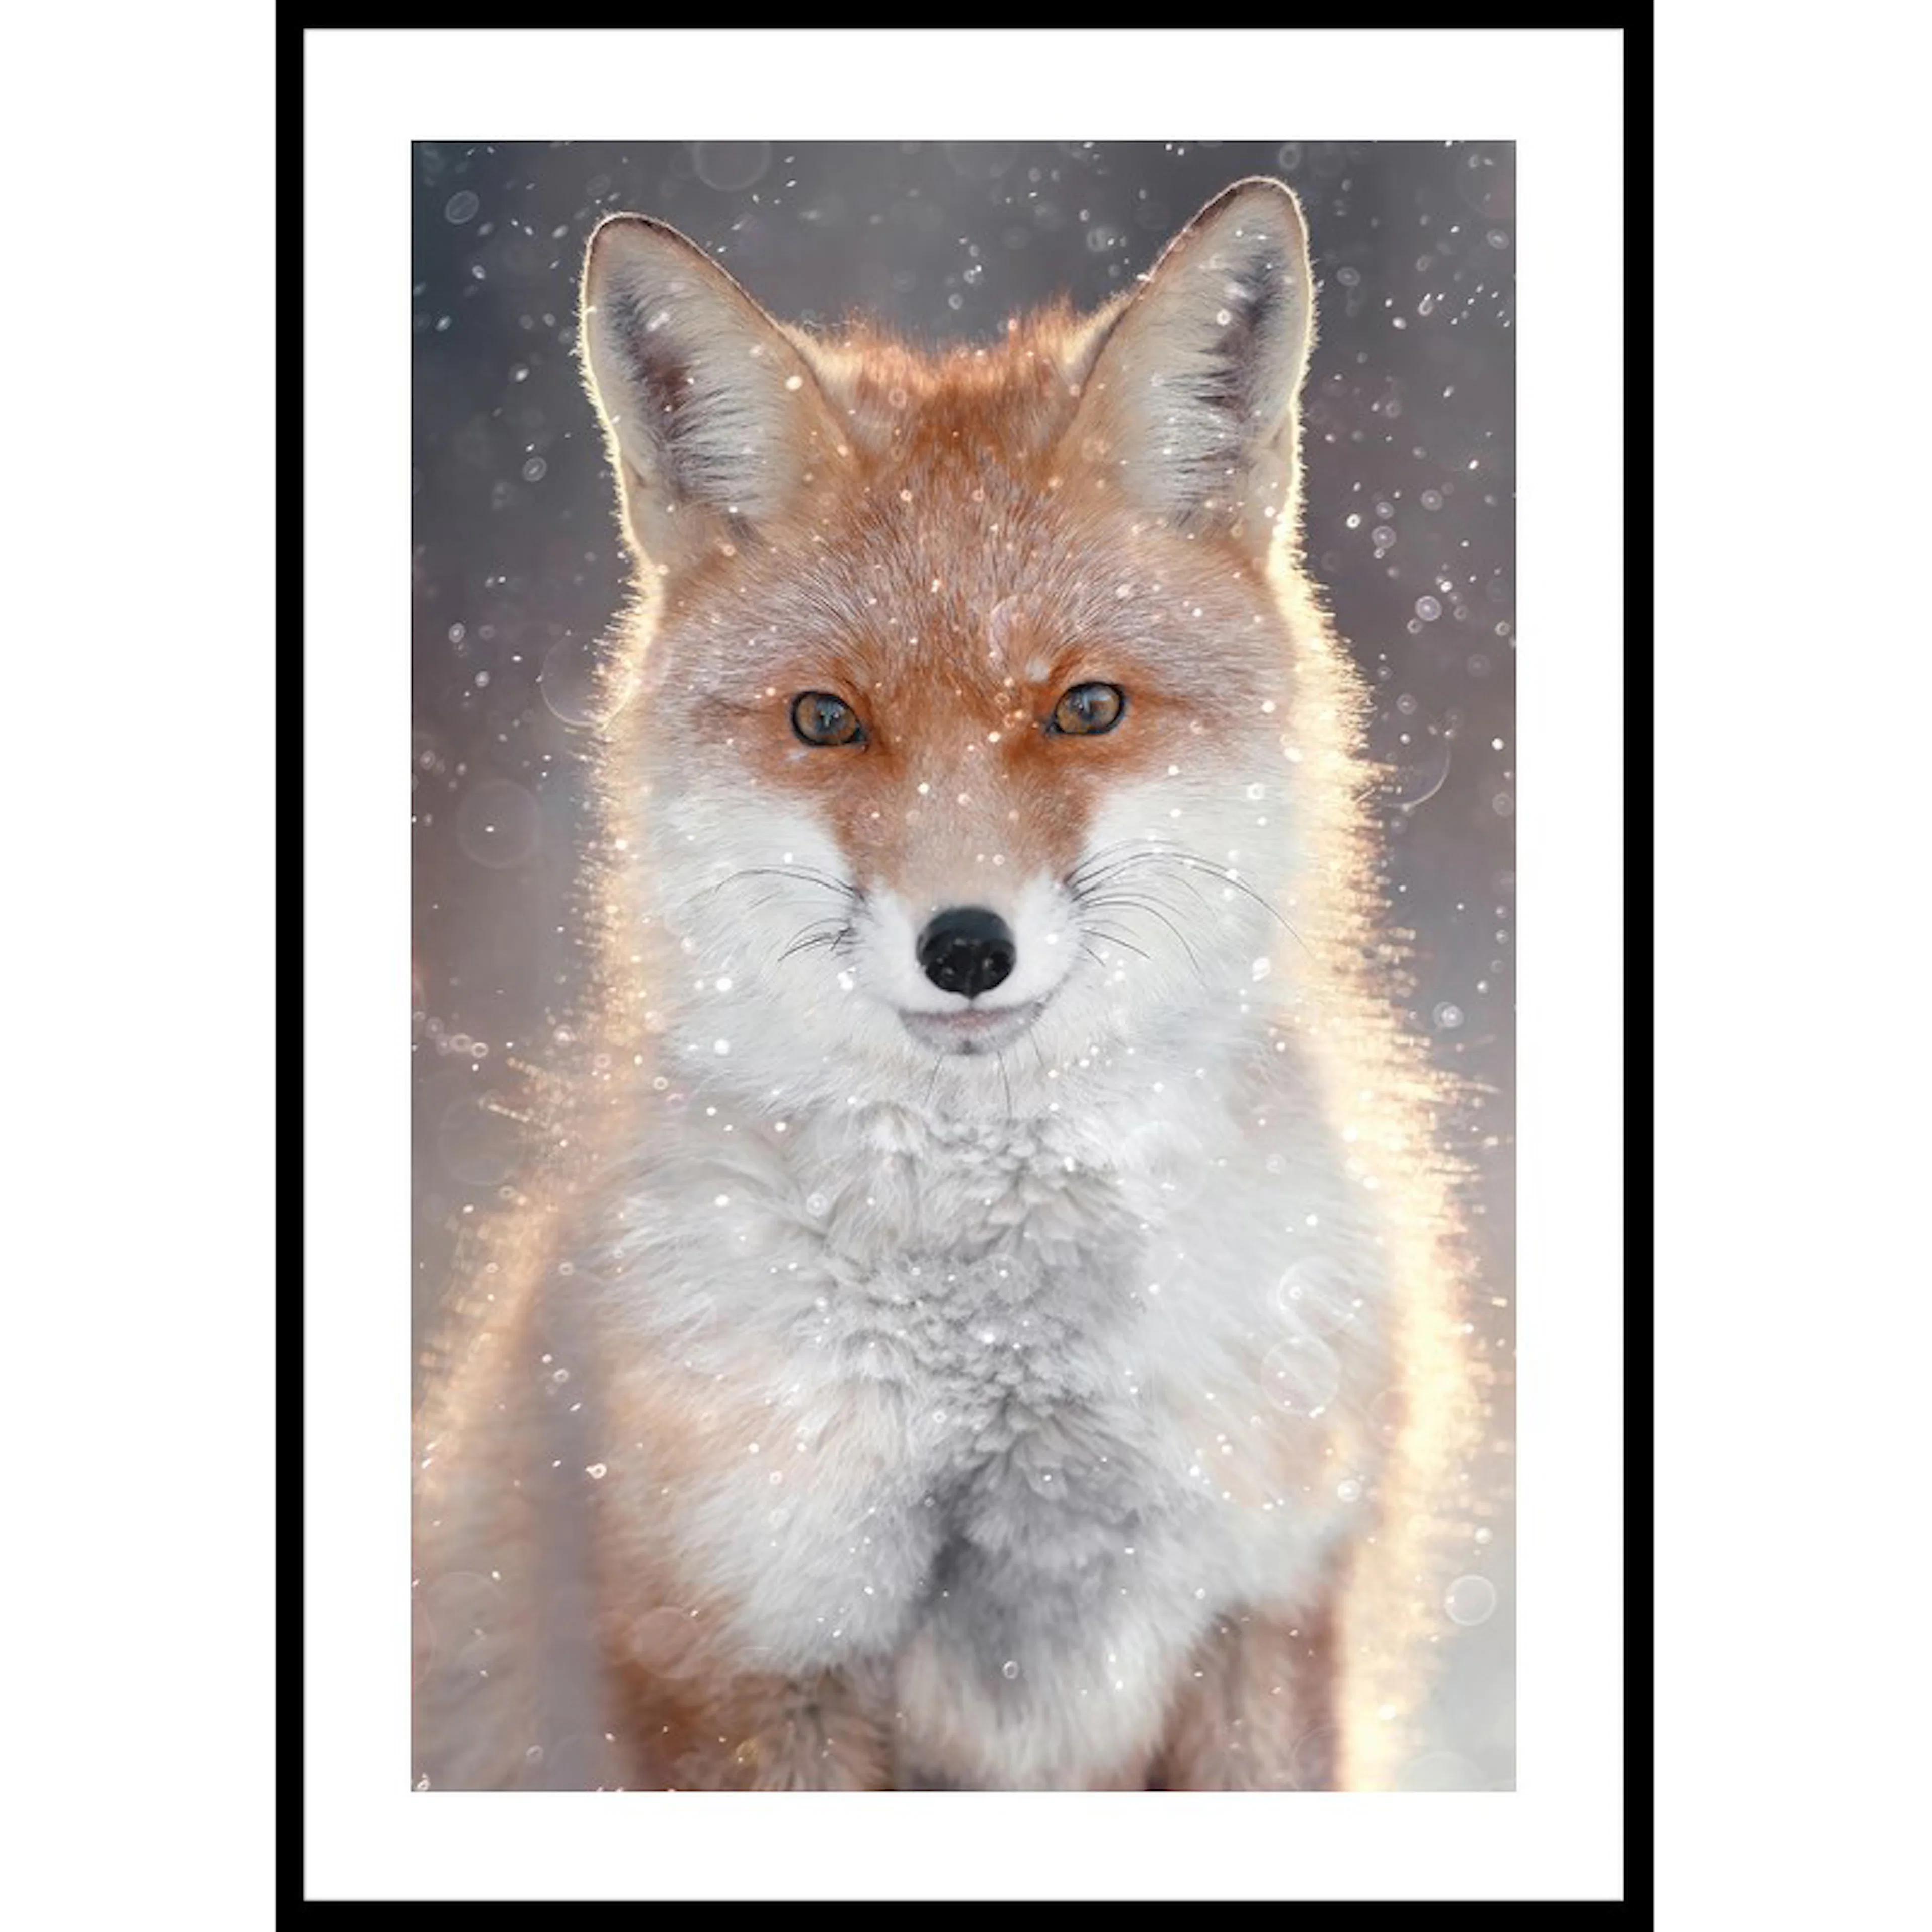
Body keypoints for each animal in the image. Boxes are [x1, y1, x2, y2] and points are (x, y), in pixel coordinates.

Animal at [412, 176, 1487, 1792]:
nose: (966, 947)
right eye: (825, 720)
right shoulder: (745, 1646)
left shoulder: (1267, 1610)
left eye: (1086, 706)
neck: (1004, 1364)